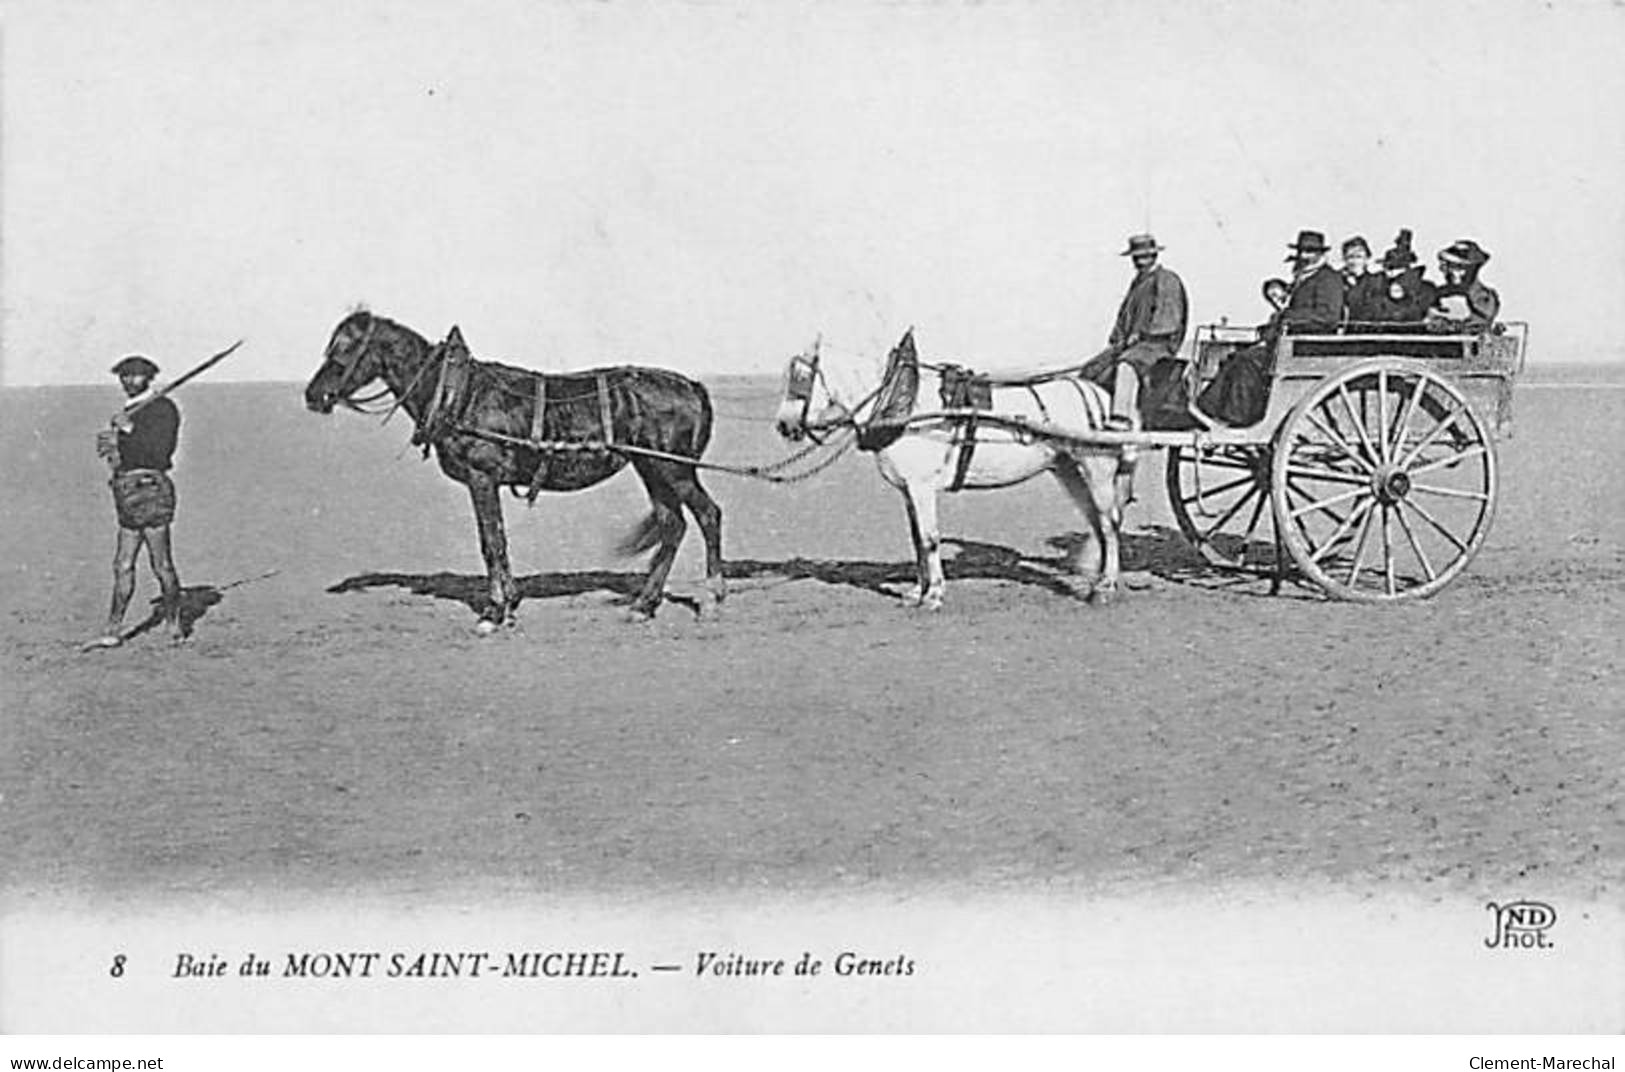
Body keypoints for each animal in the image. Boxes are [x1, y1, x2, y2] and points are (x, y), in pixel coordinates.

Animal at [307, 306, 728, 626]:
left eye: (344, 348)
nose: (313, 395)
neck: (456, 393)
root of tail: (691, 386)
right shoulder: (487, 482)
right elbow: (498, 539)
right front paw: (508, 603)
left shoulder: (481, 477)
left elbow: (490, 542)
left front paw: (494, 611)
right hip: (651, 468)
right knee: (672, 526)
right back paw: (644, 604)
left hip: (674, 469)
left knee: (708, 515)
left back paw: (712, 597)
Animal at [770, 331, 1124, 607]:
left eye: (801, 378)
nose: (784, 425)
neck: (905, 406)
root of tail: (1099, 394)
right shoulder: (908, 490)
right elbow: (917, 540)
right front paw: (917, 591)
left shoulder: (922, 487)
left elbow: (929, 539)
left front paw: (934, 594)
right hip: (1068, 469)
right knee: (1096, 523)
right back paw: (1092, 580)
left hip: (1097, 470)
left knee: (1109, 525)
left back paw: (1105, 588)